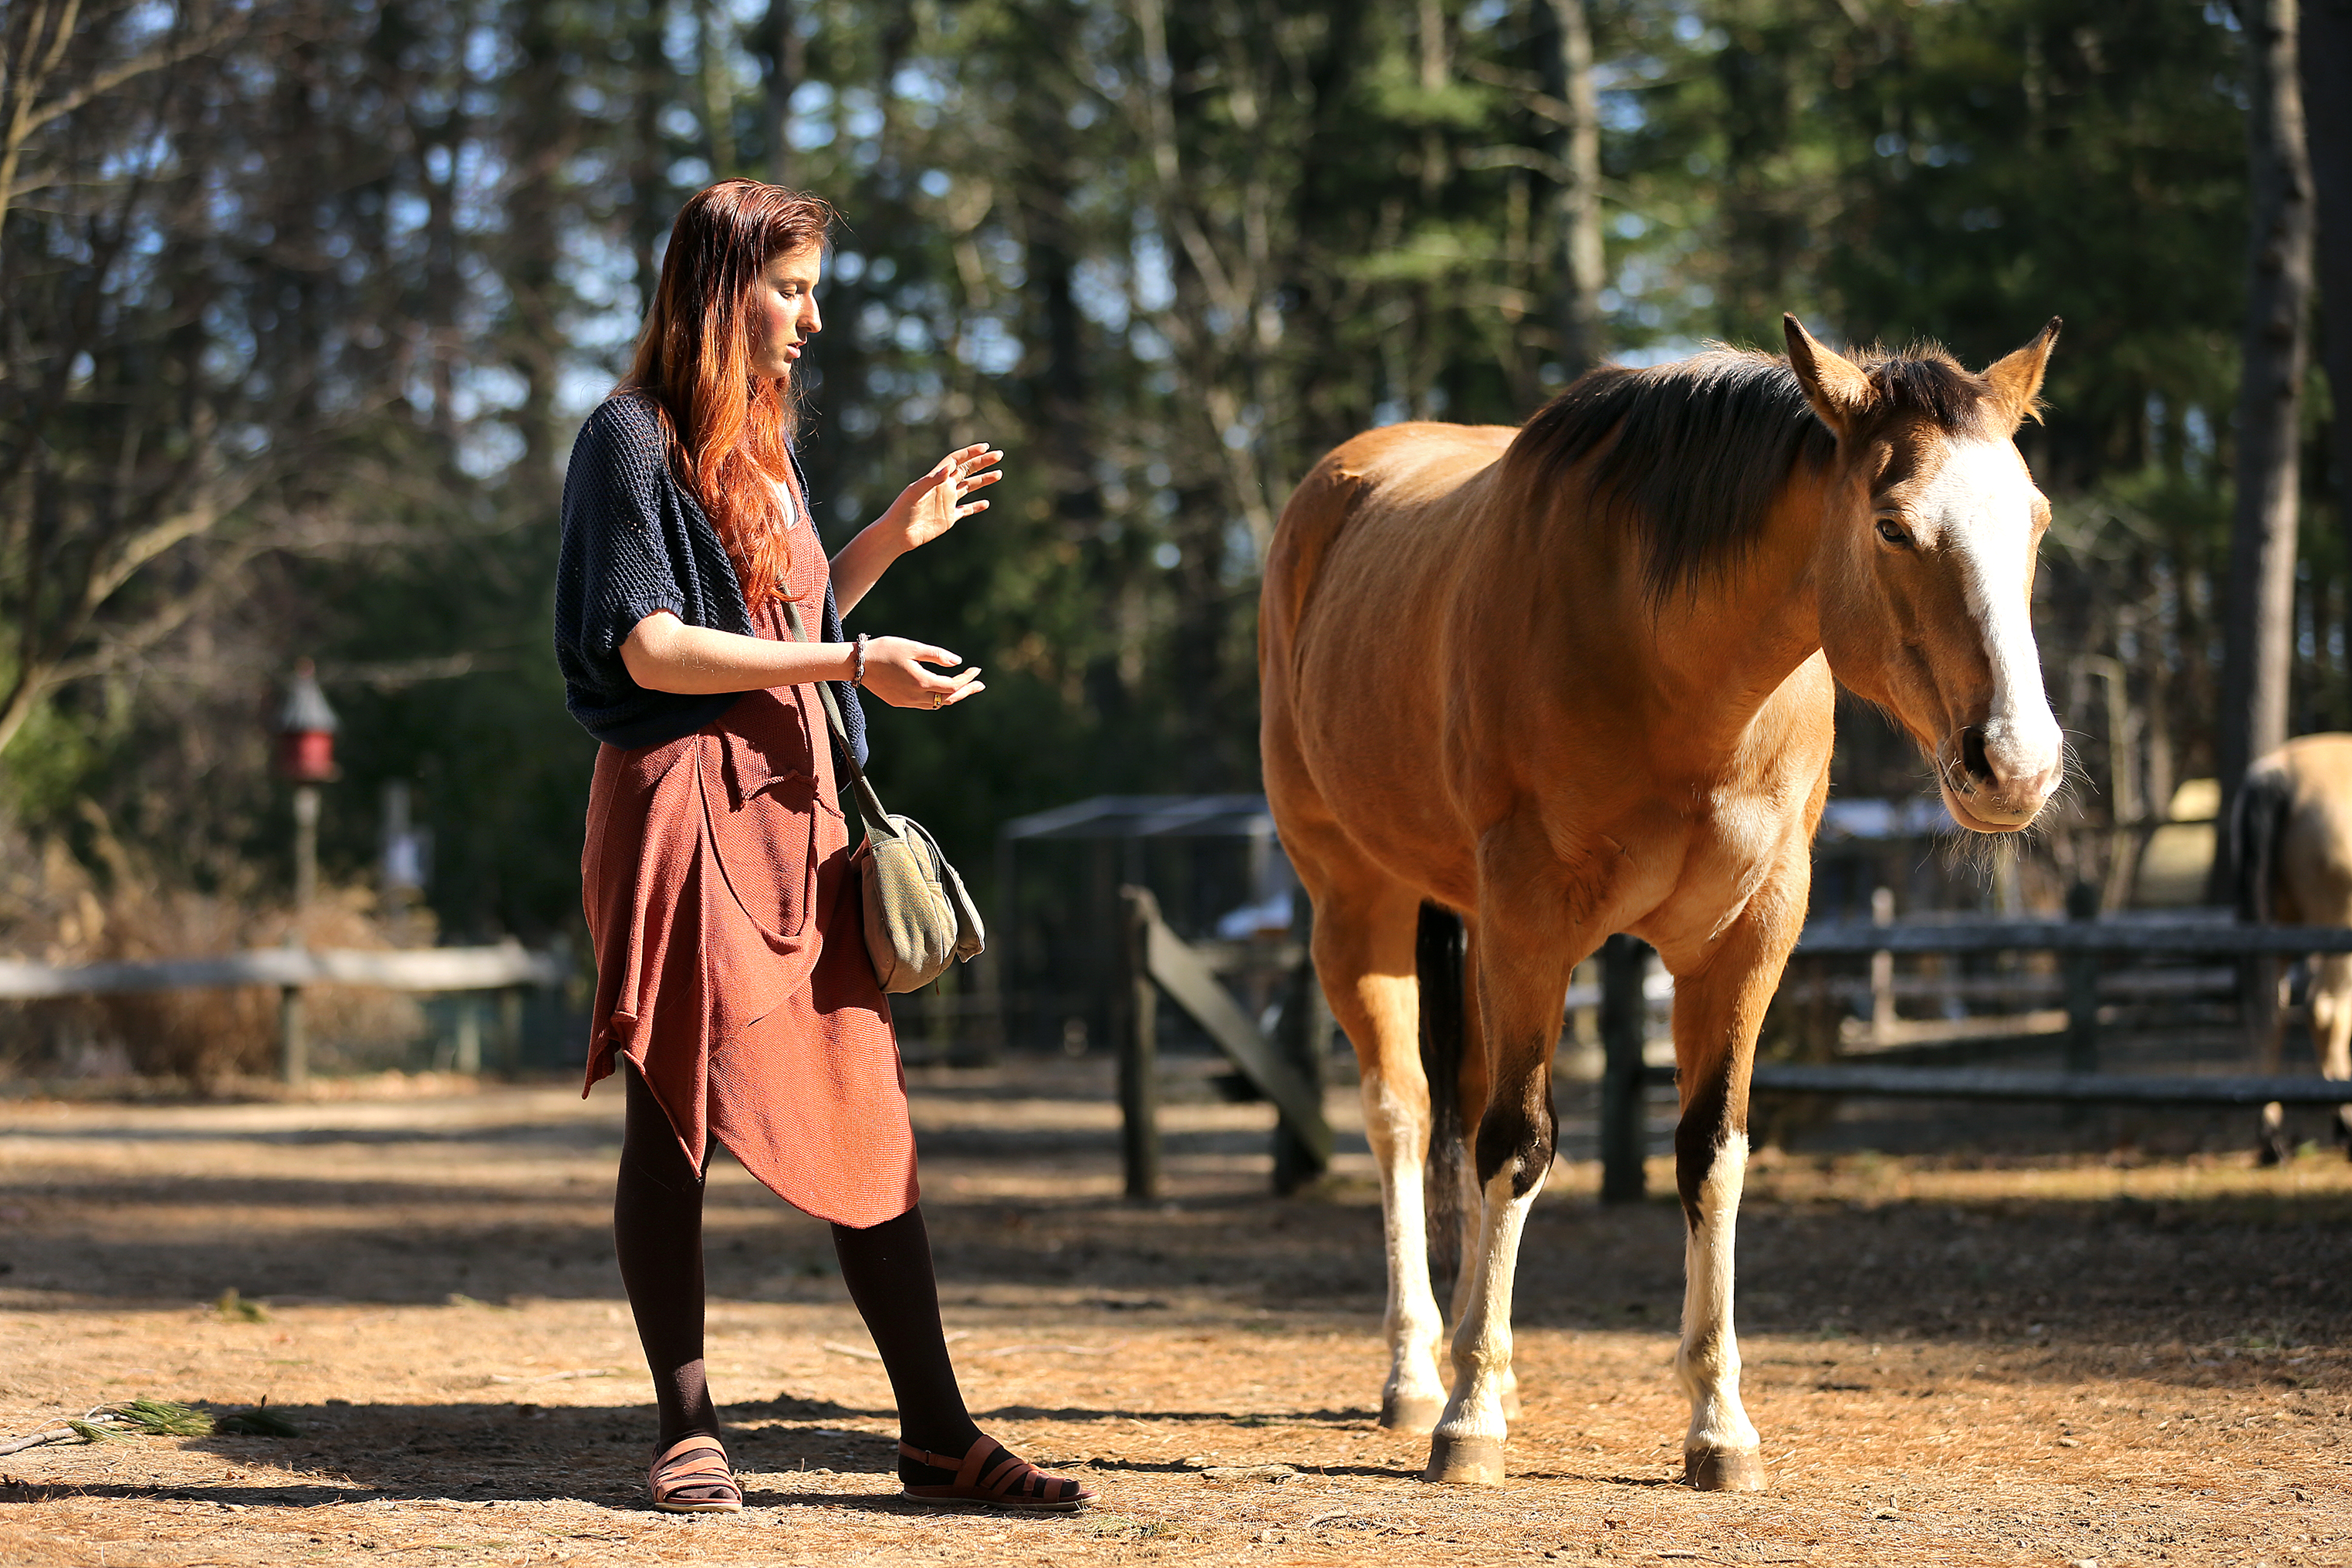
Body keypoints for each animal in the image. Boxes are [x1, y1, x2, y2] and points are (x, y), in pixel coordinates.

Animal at [1269, 313, 2060, 1495]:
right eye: (1892, 525)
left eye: (2035, 522)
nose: (2015, 764)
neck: (1669, 666)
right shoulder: (1533, 919)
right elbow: (1518, 1142)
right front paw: (1468, 1419)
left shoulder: (1745, 938)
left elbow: (1711, 1151)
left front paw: (1718, 1423)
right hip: (1357, 902)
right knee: (1404, 1113)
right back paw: (1420, 1372)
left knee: (1464, 1099)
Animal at [2220, 728, 2352, 1161]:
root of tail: (2279, 776)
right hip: (2337, 925)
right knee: (2325, 1011)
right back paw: (2344, 1123)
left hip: (2277, 926)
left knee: (2268, 1015)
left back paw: (2272, 1136)